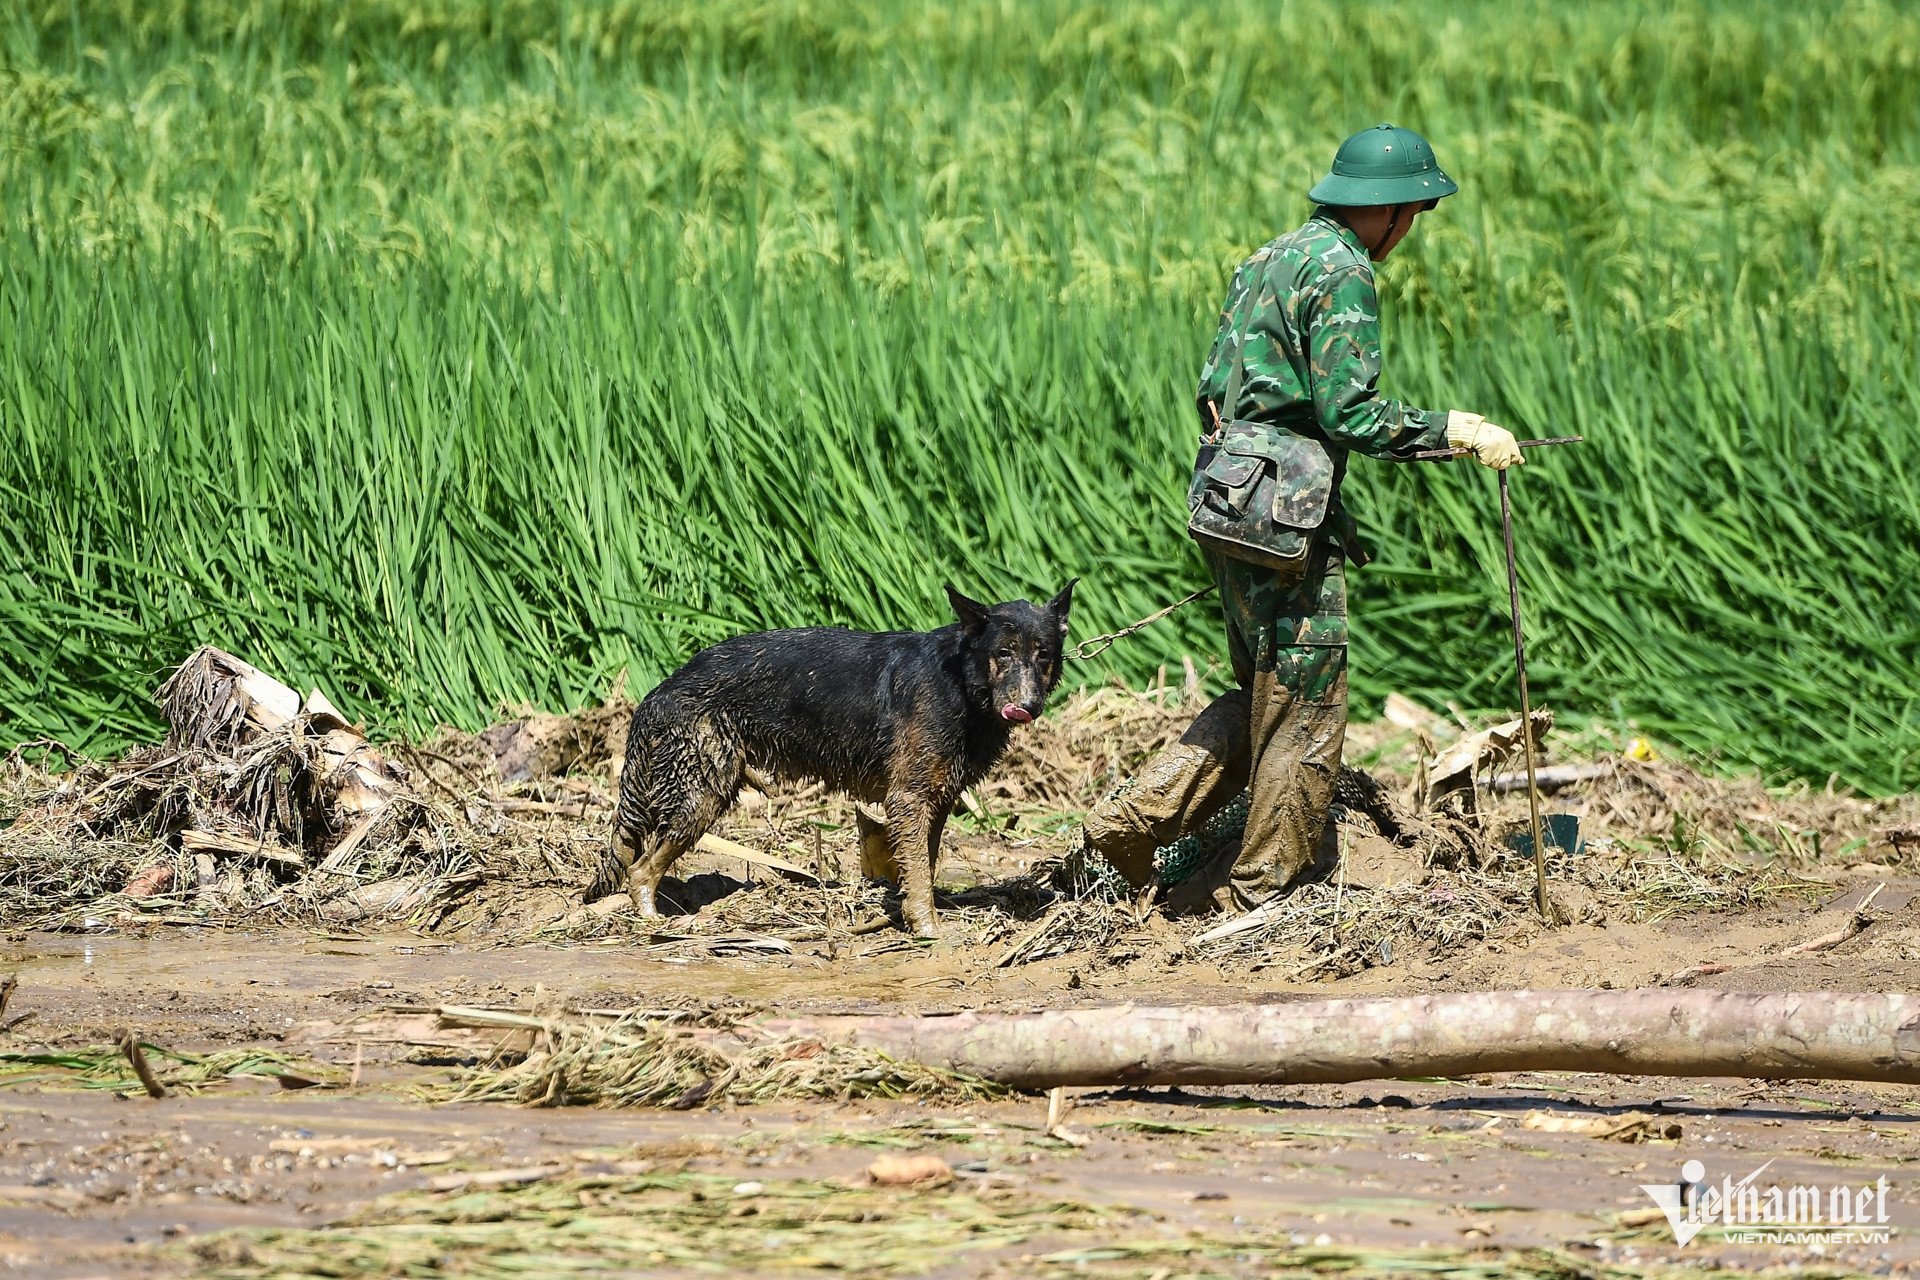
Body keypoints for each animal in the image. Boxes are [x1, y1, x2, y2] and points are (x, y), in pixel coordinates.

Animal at [591, 587, 1075, 936]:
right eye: (1003, 653)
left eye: (1044, 655)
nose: (1027, 707)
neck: (961, 682)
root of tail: (660, 691)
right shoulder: (909, 799)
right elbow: (920, 875)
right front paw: (928, 930)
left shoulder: (933, 801)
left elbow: (923, 866)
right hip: (699, 801)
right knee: (638, 870)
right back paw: (654, 925)